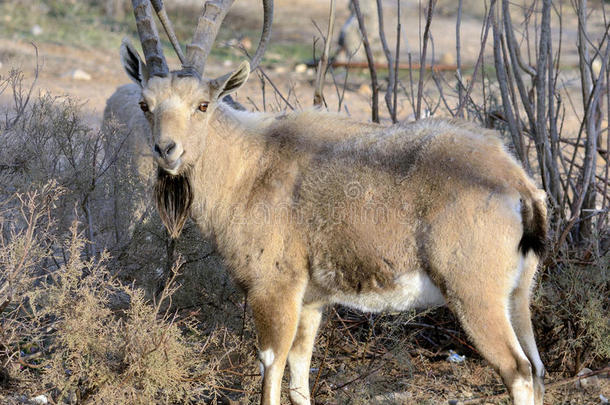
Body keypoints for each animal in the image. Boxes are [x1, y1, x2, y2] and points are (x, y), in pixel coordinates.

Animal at [107, 1, 548, 402]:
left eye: (202, 104)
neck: (251, 165)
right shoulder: (313, 300)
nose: (167, 151)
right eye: (145, 104)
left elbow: (272, 368)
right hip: (517, 296)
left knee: (518, 370)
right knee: (537, 368)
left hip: (474, 296)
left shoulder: (275, 288)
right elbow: (299, 376)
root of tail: (517, 183)